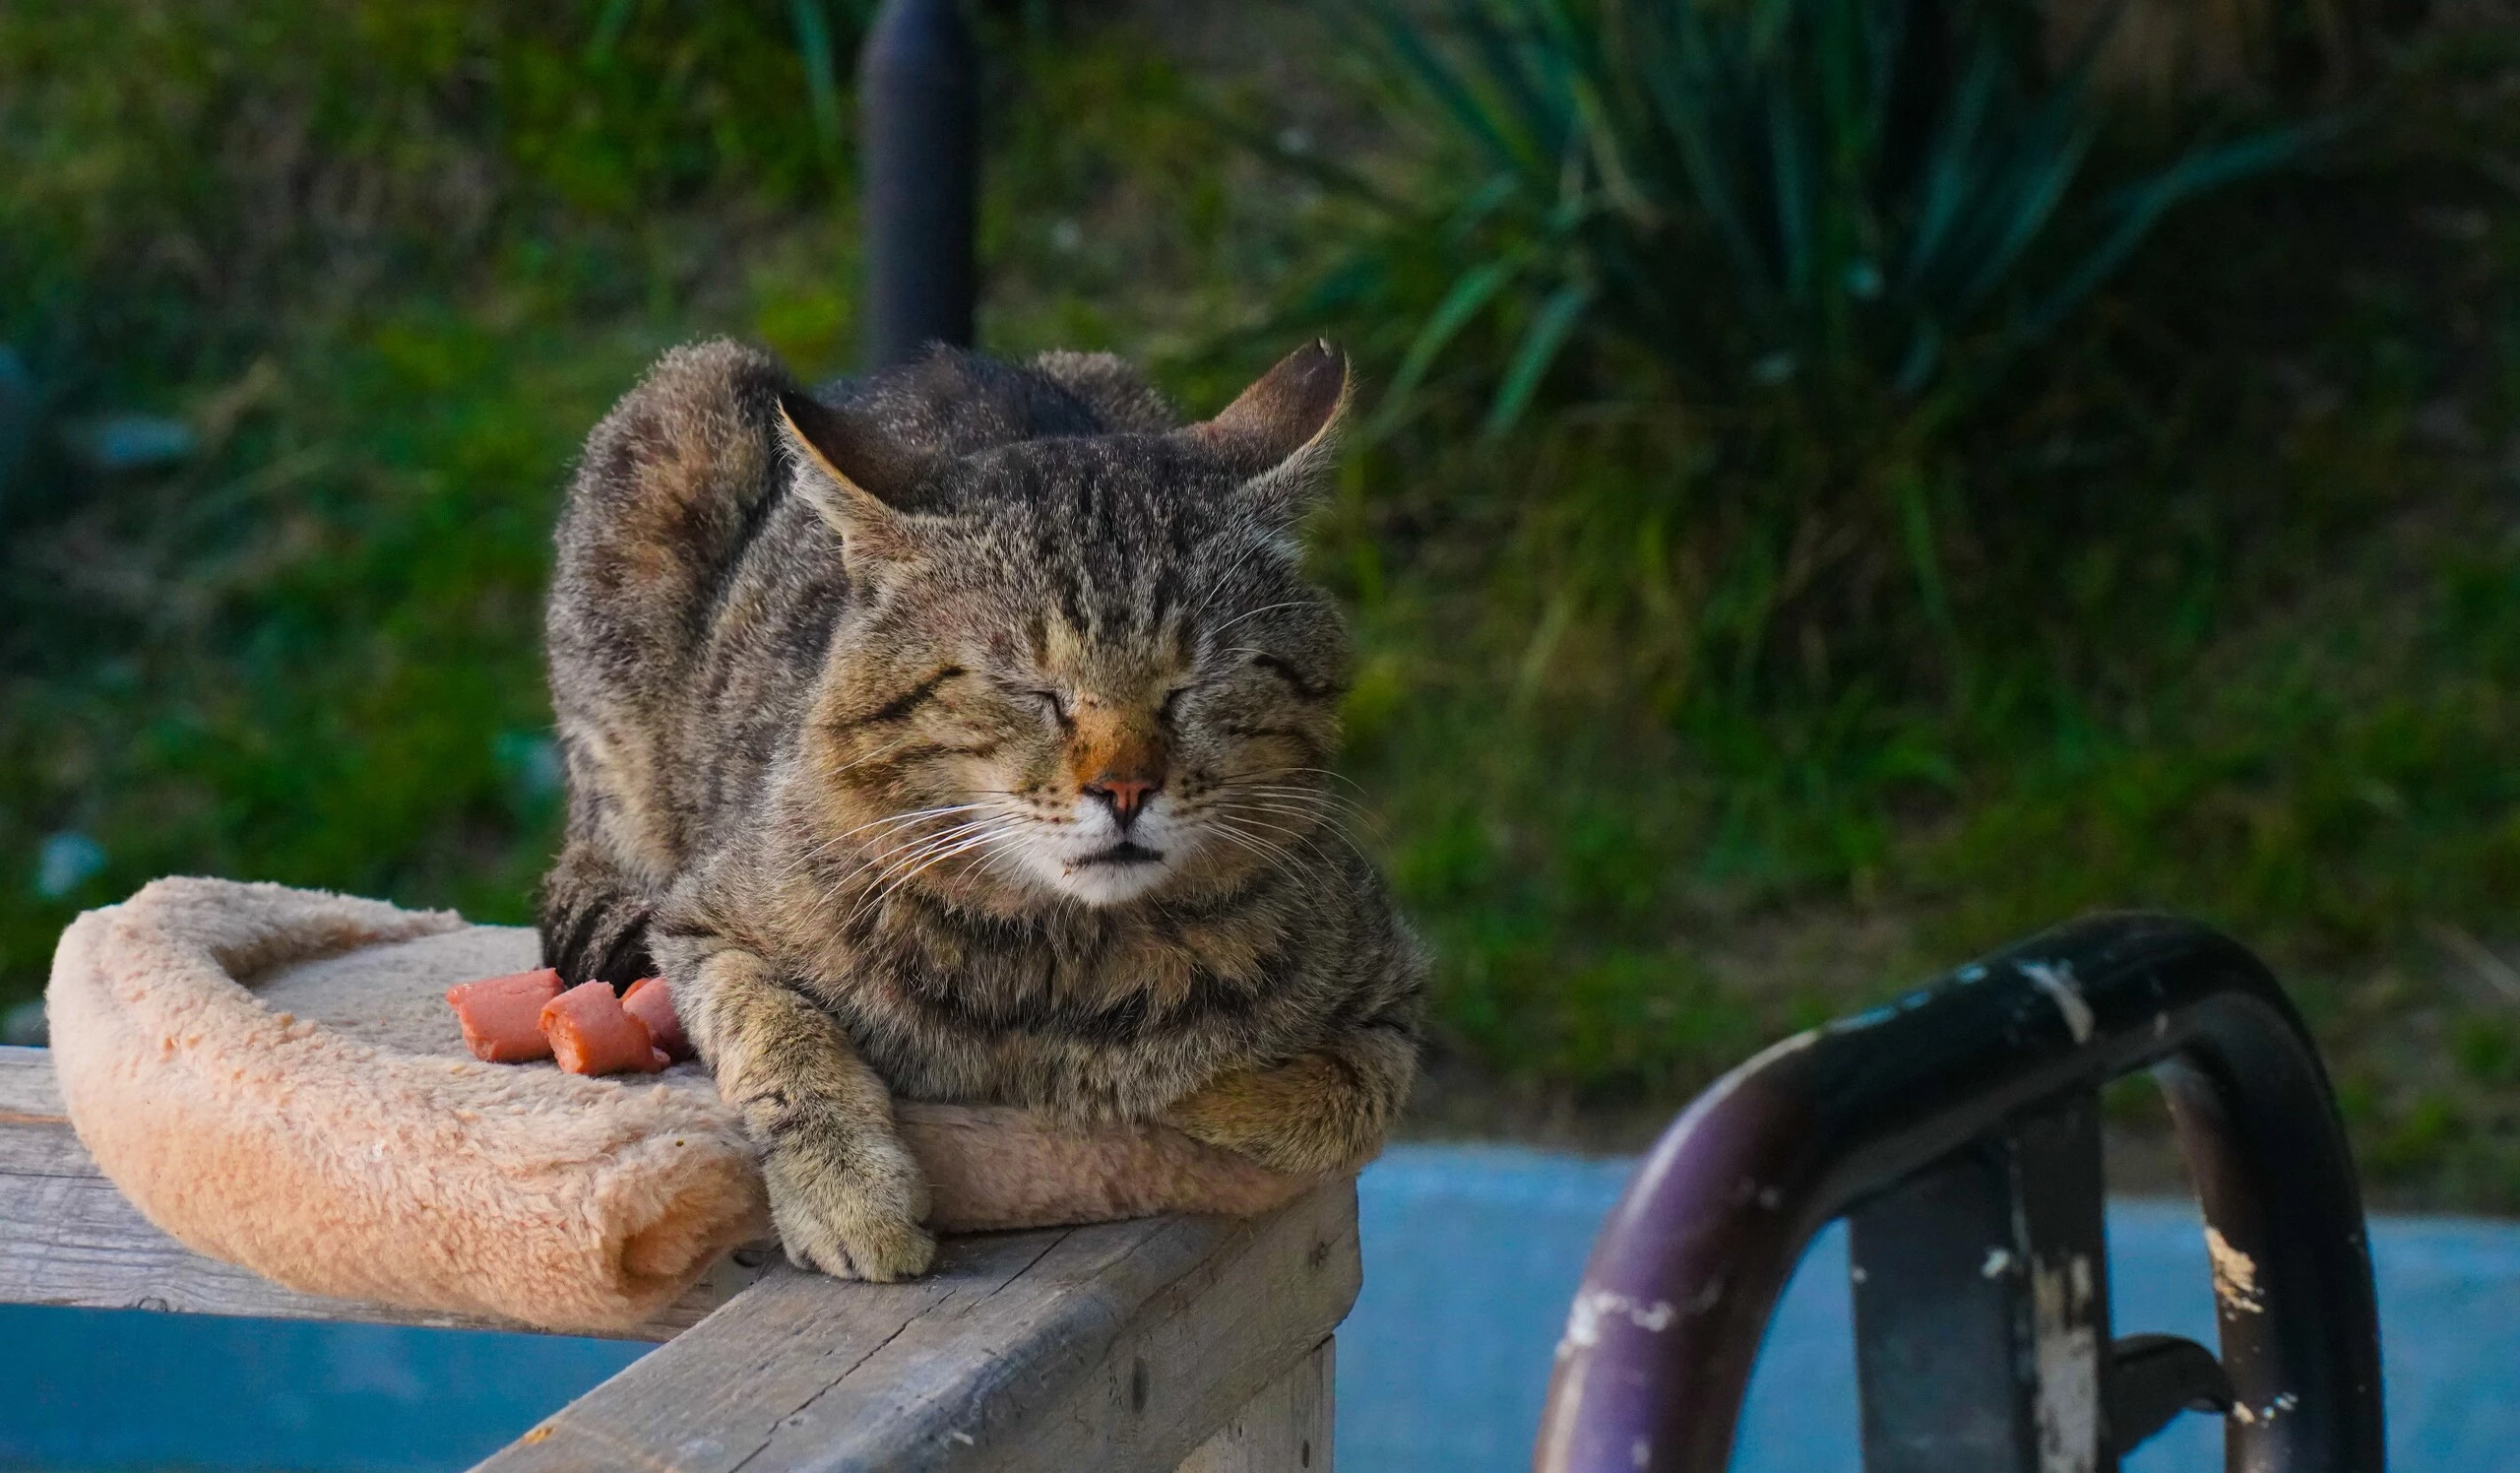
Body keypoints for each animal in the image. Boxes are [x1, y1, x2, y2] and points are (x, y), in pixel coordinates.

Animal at [534, 333, 1431, 1276]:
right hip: (677, 422)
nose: (1125, 788)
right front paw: (849, 1196)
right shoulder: (706, 922)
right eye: (1030, 689)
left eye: (1191, 685)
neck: (1067, 964)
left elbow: (1325, 1102)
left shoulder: (1394, 1000)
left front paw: (1146, 1091)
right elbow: (779, 1037)